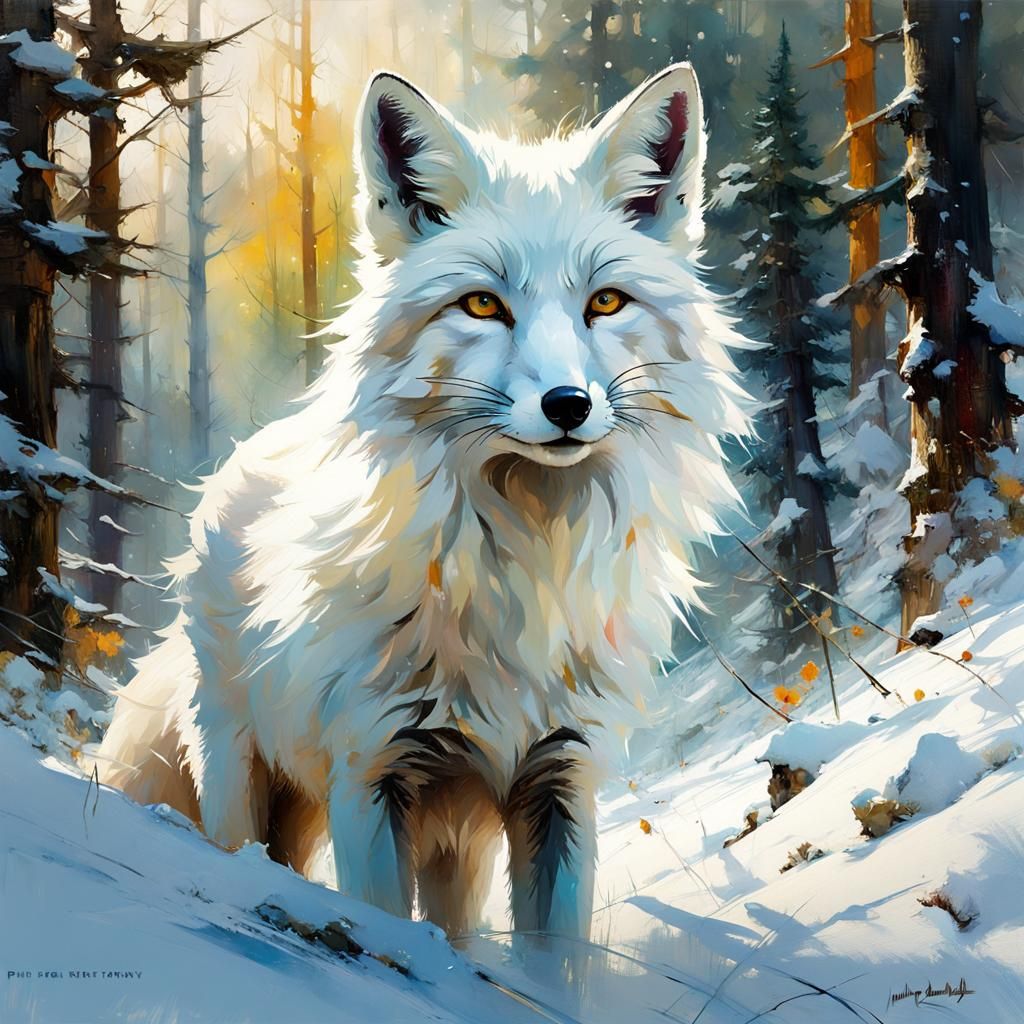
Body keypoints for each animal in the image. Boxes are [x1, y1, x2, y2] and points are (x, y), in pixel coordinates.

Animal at [95, 63, 753, 940]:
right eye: (482, 305)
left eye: (606, 303)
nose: (569, 405)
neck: (520, 570)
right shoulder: (373, 776)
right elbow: (380, 916)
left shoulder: (560, 781)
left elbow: (556, 959)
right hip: (242, 776)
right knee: (244, 847)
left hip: (454, 844)